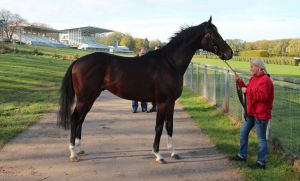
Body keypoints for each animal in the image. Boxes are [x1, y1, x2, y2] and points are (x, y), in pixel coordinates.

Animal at [58, 17, 232, 163]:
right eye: (212, 34)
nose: (229, 53)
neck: (169, 63)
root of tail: (77, 61)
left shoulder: (171, 103)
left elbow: (169, 126)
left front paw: (173, 152)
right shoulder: (162, 103)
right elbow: (159, 127)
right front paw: (158, 154)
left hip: (91, 97)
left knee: (81, 119)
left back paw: (80, 149)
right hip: (84, 98)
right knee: (75, 119)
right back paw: (73, 153)